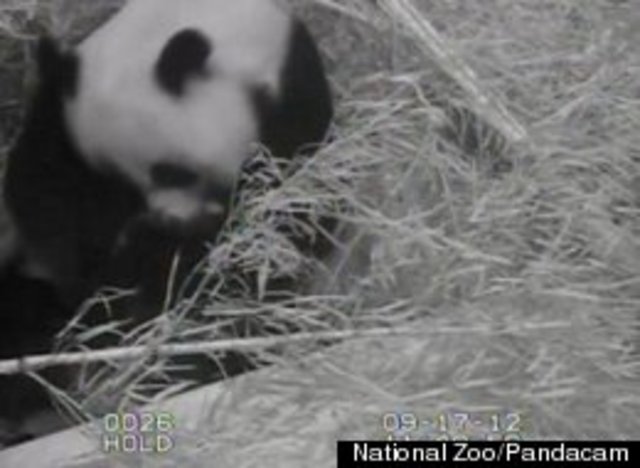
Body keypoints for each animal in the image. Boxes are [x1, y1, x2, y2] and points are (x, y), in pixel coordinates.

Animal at [0, 0, 333, 443]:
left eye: (172, 172)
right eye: (116, 181)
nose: (166, 220)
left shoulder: (292, 97)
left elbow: (286, 219)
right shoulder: (57, 137)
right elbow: (48, 200)